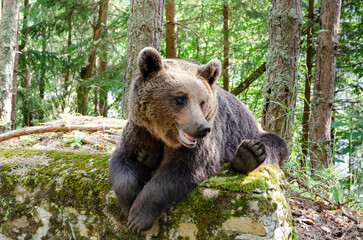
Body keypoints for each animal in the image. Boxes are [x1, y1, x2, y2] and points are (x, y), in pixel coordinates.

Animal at [108, 47, 288, 232]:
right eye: (180, 98)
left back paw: (249, 155)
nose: (202, 129)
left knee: (273, 143)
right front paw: (129, 205)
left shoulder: (203, 142)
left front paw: (139, 218)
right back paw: (147, 157)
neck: (164, 134)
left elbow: (185, 169)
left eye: (202, 101)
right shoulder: (141, 129)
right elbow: (123, 161)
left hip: (252, 132)